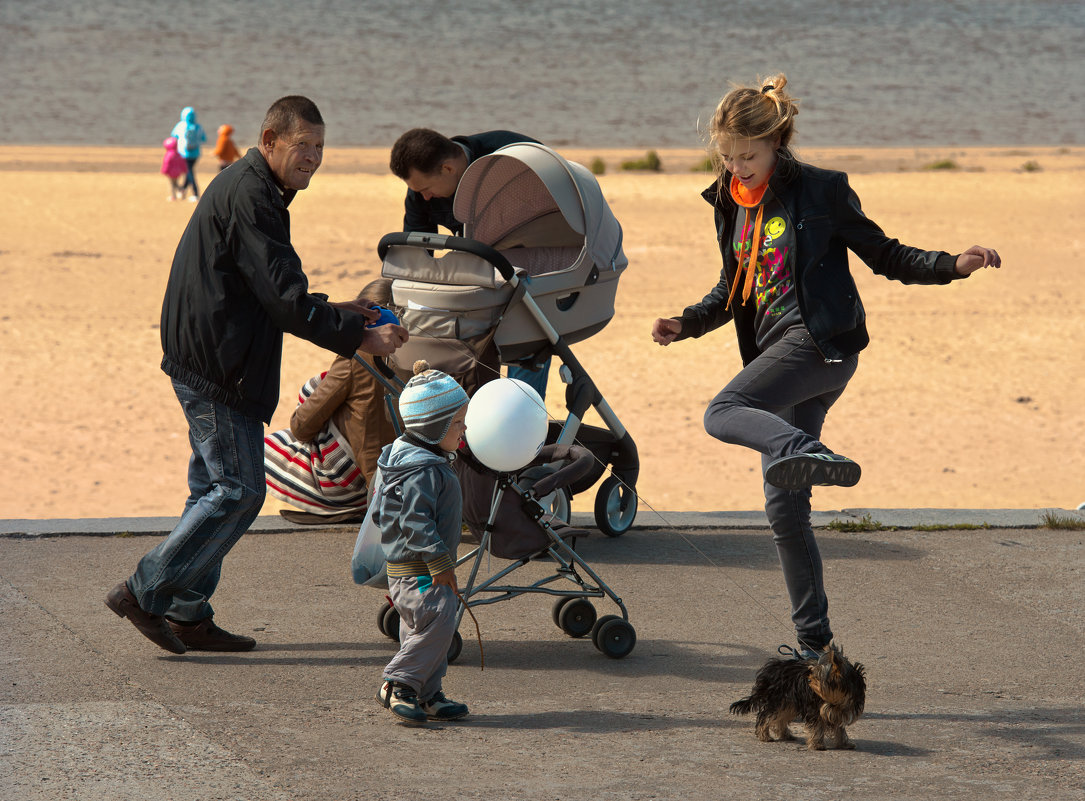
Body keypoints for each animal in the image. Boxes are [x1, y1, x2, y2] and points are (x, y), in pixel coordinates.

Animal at [729, 642, 863, 746]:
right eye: (812, 671)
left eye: (817, 675)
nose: (808, 680)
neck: (839, 695)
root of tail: (770, 670)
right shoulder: (815, 709)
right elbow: (817, 727)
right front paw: (817, 745)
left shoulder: (839, 711)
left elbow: (840, 729)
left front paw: (844, 743)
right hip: (778, 699)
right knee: (765, 716)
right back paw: (764, 736)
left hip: (789, 703)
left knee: (781, 718)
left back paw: (785, 735)